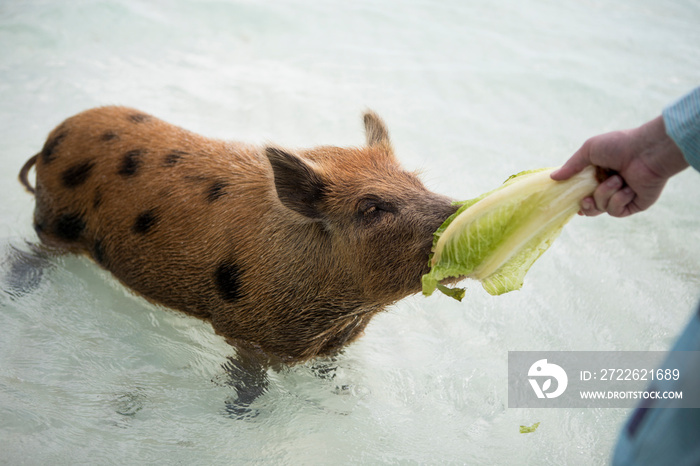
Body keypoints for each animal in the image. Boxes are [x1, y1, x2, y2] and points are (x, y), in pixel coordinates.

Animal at [17, 106, 460, 364]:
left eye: (415, 181)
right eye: (370, 207)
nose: (456, 210)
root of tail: (51, 139)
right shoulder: (249, 334)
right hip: (53, 222)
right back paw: (21, 288)